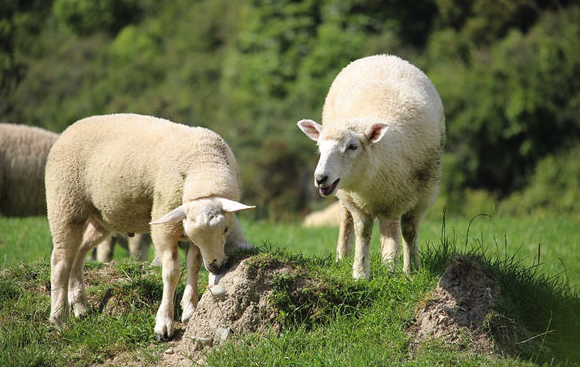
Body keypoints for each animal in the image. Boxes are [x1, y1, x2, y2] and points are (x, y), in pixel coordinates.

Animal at [44, 113, 254, 340]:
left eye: (225, 229)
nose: (216, 267)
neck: (204, 161)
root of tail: (69, 129)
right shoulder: (164, 226)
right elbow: (171, 273)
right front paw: (164, 323)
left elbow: (194, 265)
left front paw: (190, 308)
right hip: (65, 203)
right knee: (61, 260)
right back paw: (59, 318)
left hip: (99, 218)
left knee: (79, 252)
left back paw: (79, 306)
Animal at [296, 54, 446, 278]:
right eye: (319, 147)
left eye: (352, 146)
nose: (320, 178)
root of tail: (382, 56)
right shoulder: (356, 201)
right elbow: (363, 232)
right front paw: (360, 273)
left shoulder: (420, 197)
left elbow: (409, 232)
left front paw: (409, 272)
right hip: (348, 197)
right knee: (346, 221)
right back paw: (343, 257)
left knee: (389, 229)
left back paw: (388, 264)